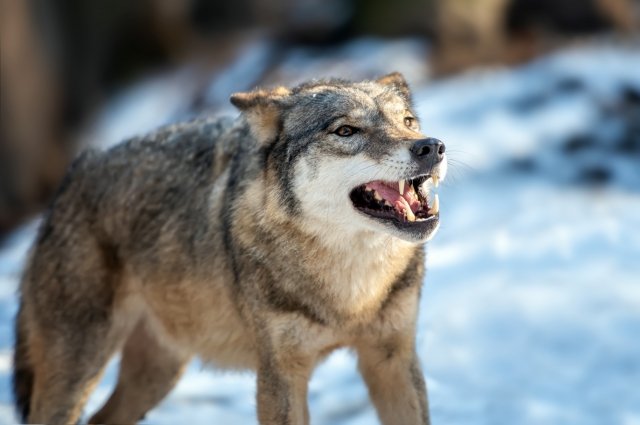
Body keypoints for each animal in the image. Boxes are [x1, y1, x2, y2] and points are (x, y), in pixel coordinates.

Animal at [13, 73, 444, 424]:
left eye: (408, 122)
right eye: (346, 131)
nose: (432, 147)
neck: (352, 293)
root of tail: (74, 173)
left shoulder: (393, 359)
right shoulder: (279, 375)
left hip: (156, 374)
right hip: (77, 373)